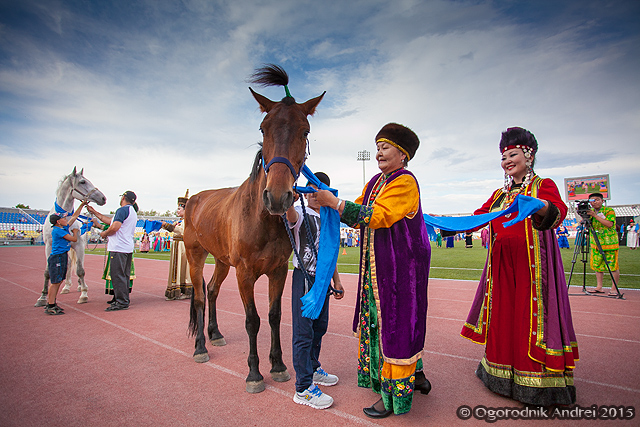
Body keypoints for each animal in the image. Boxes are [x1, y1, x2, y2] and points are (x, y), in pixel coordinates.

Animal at [34, 168, 106, 308]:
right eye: (83, 182)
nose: (103, 198)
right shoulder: (49, 246)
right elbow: (47, 272)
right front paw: (43, 297)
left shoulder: (79, 245)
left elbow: (80, 270)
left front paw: (84, 294)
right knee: (67, 265)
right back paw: (66, 286)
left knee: (77, 264)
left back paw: (79, 286)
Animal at [184, 64, 324, 394]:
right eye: (263, 128)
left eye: (305, 131)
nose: (277, 196)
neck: (263, 219)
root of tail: (194, 198)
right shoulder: (245, 273)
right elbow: (252, 320)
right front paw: (254, 372)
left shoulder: (278, 270)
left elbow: (273, 316)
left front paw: (278, 365)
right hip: (195, 256)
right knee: (199, 296)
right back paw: (201, 347)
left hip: (222, 261)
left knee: (212, 290)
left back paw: (215, 334)